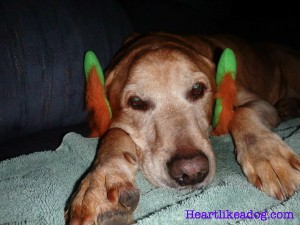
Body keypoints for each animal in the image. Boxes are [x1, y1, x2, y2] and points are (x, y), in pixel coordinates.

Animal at [66, 32, 300, 224]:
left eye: (197, 89)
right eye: (136, 102)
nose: (192, 172)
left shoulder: (258, 101)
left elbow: (240, 113)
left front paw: (267, 156)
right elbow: (114, 134)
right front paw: (99, 185)